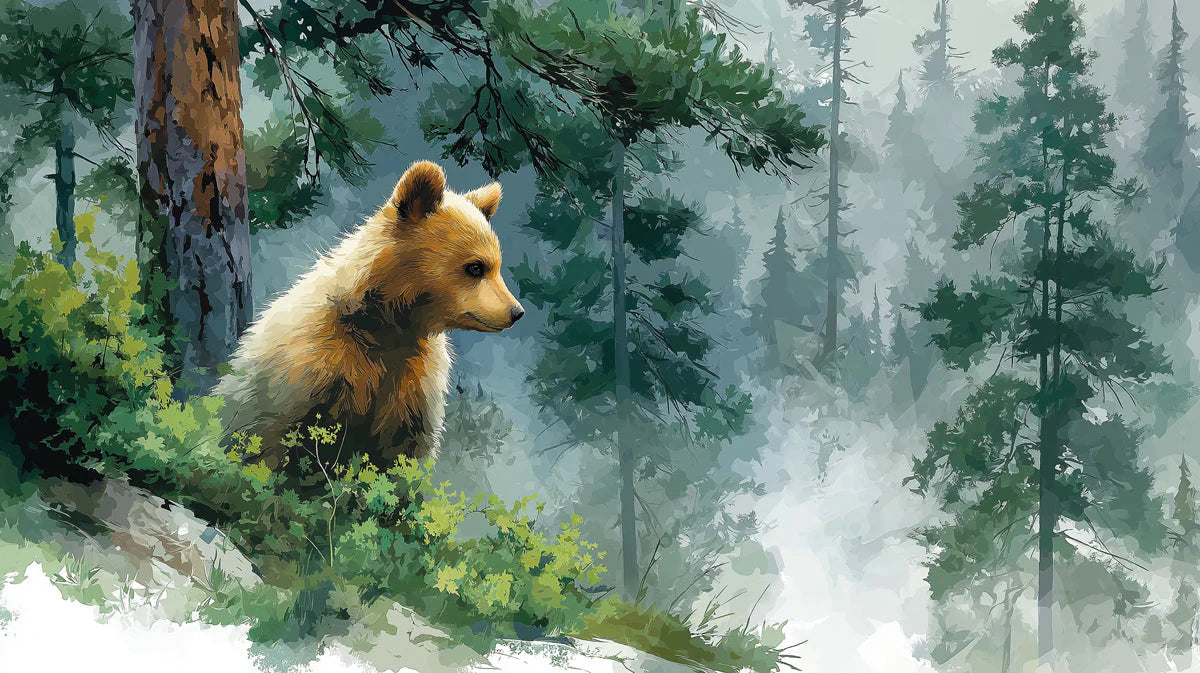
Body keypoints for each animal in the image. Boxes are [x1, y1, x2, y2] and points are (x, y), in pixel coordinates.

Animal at [214, 161, 524, 468]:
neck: (385, 325)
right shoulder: (309, 367)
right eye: (476, 267)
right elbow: (267, 440)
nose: (516, 312)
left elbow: (404, 453)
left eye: (497, 265)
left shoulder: (413, 382)